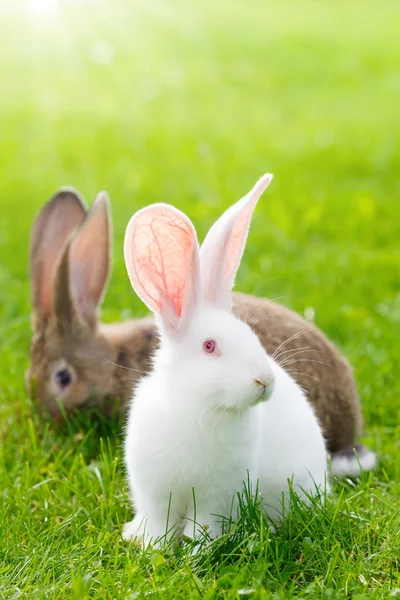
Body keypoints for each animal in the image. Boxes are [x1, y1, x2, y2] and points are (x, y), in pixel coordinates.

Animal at [123, 175, 330, 548]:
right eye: (209, 346)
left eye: (251, 333)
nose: (264, 381)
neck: (199, 407)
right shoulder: (156, 494)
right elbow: (160, 526)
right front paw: (152, 548)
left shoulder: (216, 497)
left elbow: (203, 527)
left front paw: (197, 552)